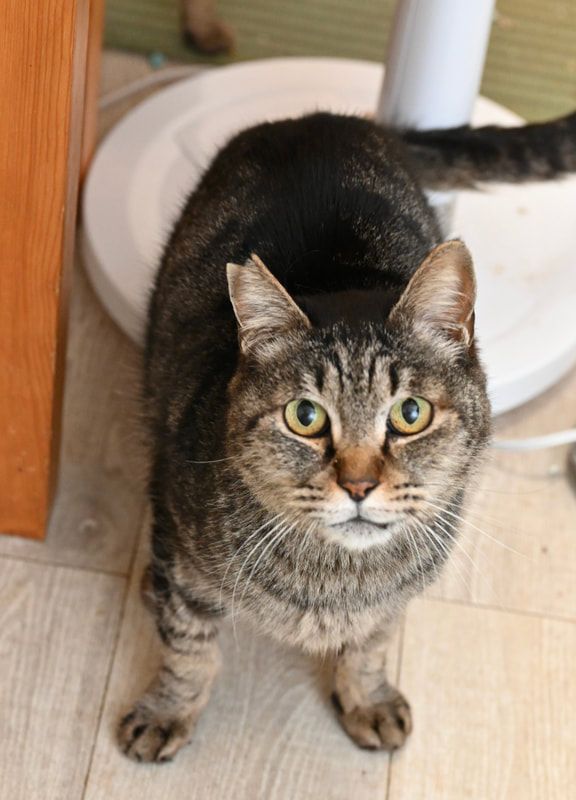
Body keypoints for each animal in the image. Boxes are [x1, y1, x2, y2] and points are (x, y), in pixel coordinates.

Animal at [117, 109, 576, 760]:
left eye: (410, 413)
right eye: (305, 417)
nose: (359, 485)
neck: (335, 581)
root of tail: (323, 118)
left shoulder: (394, 600)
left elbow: (372, 642)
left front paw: (368, 697)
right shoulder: (183, 548)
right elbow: (188, 650)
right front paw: (167, 710)